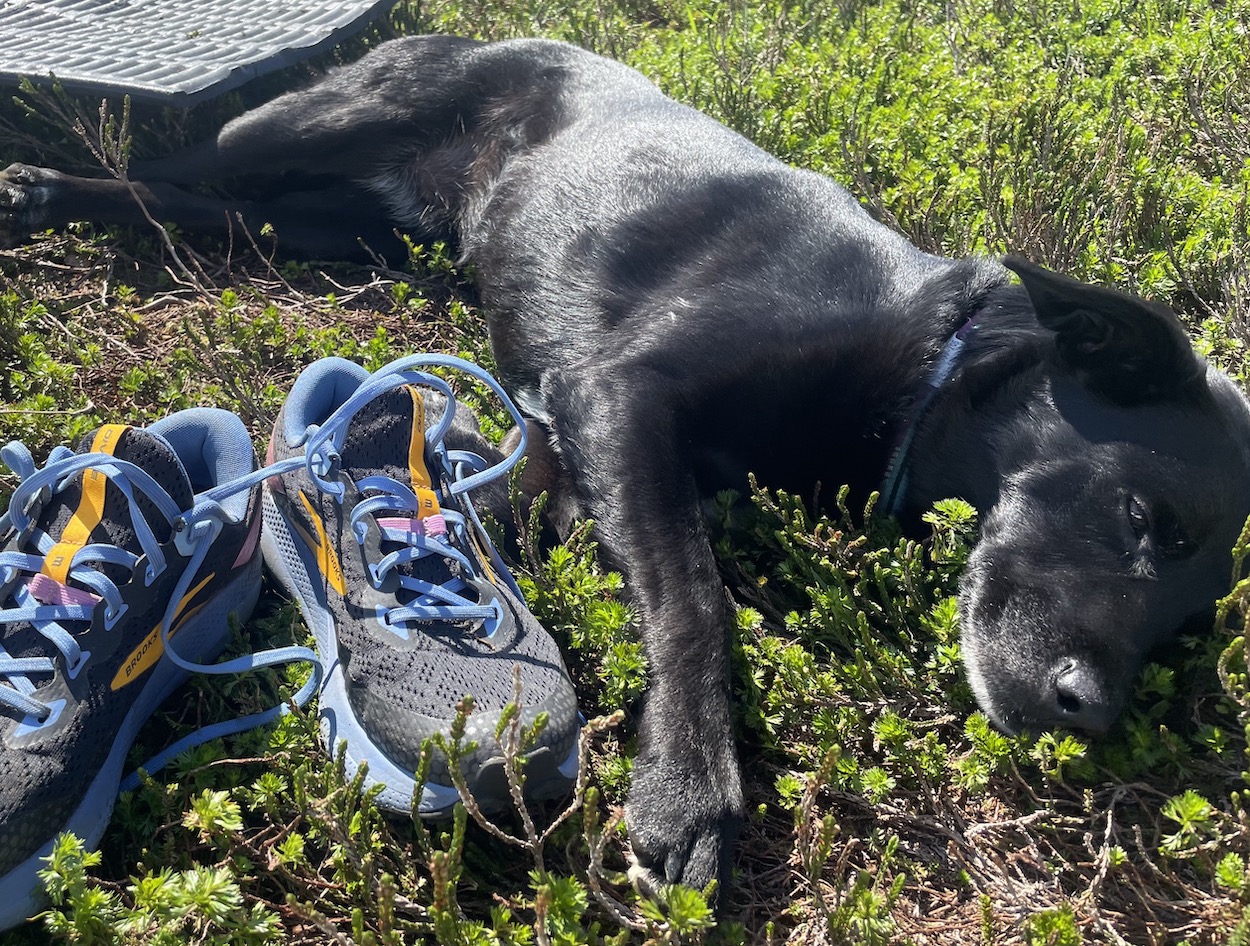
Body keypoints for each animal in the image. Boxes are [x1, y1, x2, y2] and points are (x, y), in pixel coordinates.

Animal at [2, 36, 1250, 894]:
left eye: (1185, 624)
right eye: (1143, 516)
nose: (1089, 714)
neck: (924, 351)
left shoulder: (603, 423)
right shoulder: (624, 392)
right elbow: (695, 597)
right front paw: (687, 786)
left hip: (334, 232)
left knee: (194, 202)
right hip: (306, 127)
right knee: (175, 158)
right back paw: (40, 188)